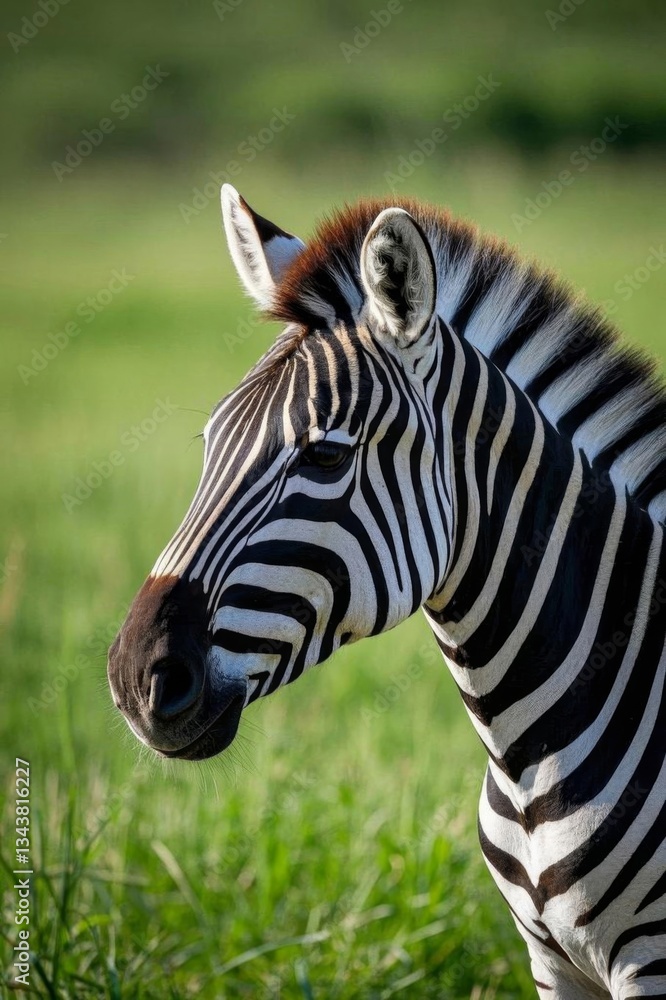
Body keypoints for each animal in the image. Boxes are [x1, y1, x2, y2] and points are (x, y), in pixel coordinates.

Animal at [108, 184, 666, 998]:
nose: (134, 678)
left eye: (326, 456)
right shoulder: (553, 962)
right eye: (210, 446)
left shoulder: (647, 958)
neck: (530, 762)